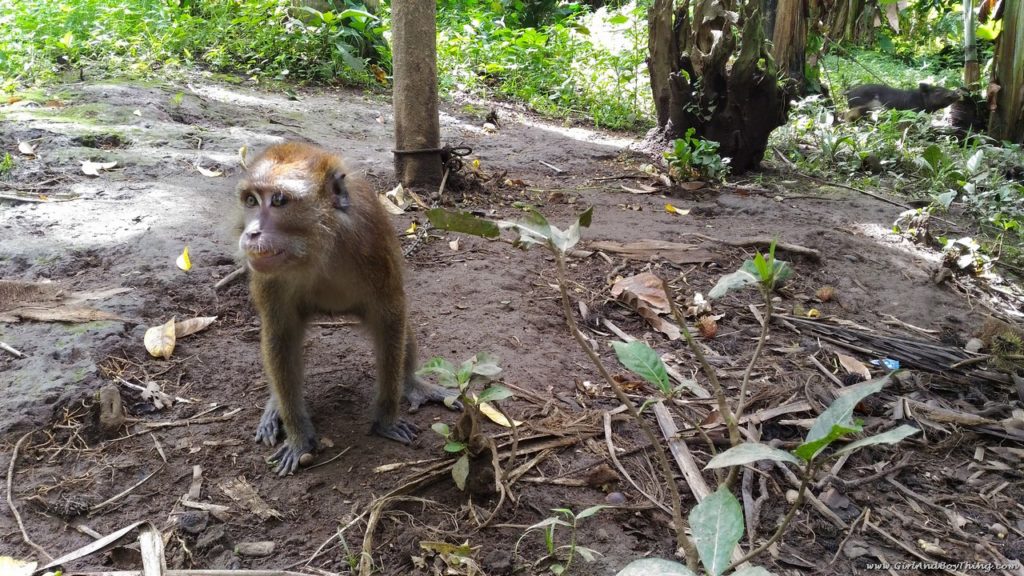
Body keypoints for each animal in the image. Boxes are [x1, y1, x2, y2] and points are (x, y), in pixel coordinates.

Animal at [236, 141, 459, 476]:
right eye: (251, 200)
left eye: (279, 200)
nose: (252, 233)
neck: (321, 244)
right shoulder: (268, 274)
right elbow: (280, 334)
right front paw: (299, 438)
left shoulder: (371, 245)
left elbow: (390, 318)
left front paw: (385, 420)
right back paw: (276, 406)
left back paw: (411, 384)